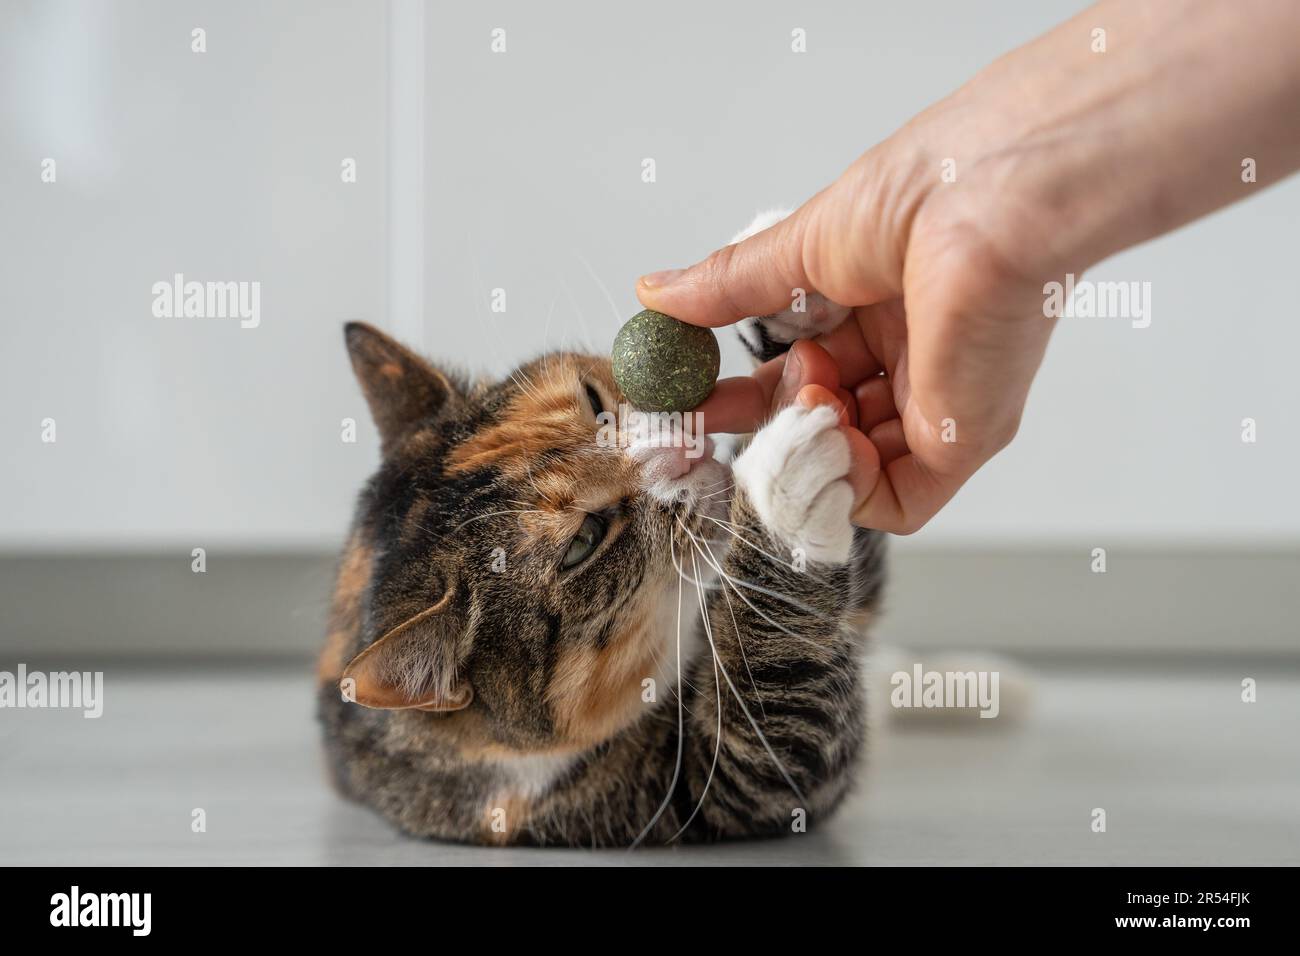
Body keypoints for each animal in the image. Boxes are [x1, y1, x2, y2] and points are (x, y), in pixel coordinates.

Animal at [317, 213, 883, 848]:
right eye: (584, 542)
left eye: (593, 402)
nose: (679, 451)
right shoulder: (698, 792)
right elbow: (787, 704)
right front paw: (787, 485)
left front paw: (789, 294)